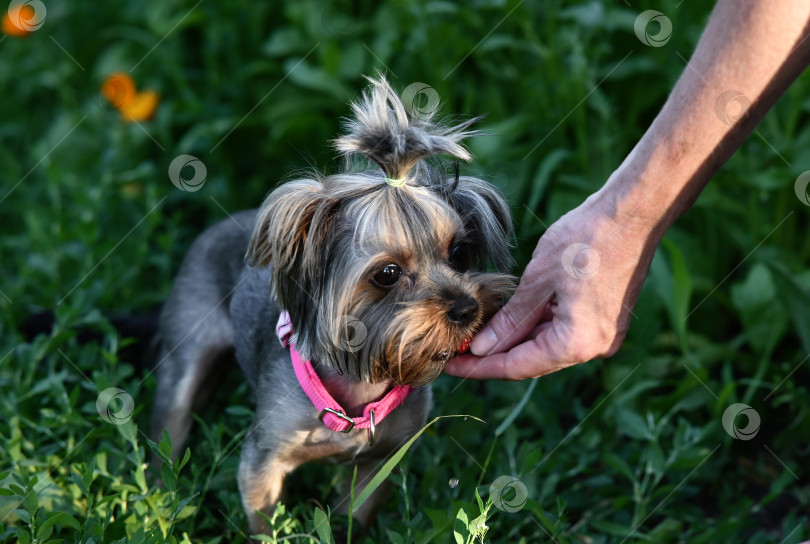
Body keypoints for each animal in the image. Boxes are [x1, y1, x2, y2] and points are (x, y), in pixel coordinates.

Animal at [152, 75, 516, 532]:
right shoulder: (262, 461)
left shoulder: (378, 462)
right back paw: (162, 500)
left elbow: (353, 517)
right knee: (172, 420)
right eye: (387, 273)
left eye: (459, 253)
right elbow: (265, 522)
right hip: (187, 347)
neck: (361, 384)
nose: (467, 308)